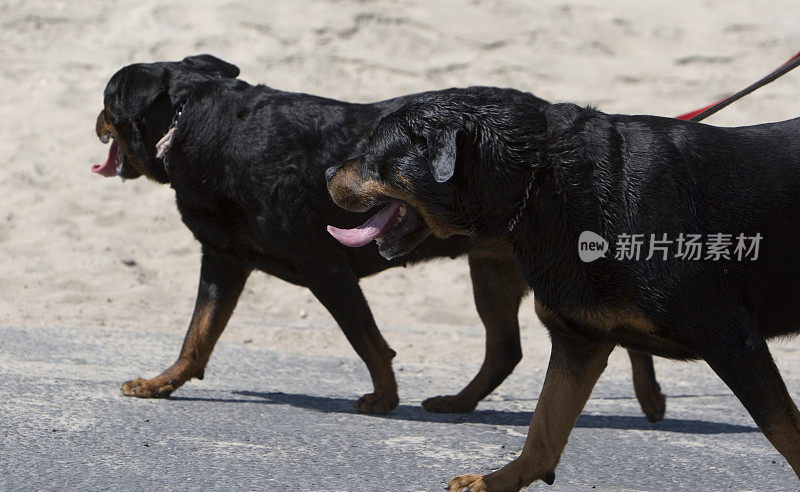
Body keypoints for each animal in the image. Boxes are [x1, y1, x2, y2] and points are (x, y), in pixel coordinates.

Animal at [95, 55, 668, 418]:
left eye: (107, 100)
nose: (96, 119)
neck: (196, 124)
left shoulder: (326, 267)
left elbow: (367, 340)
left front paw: (384, 398)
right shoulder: (223, 261)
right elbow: (198, 333)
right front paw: (163, 382)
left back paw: (650, 397)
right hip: (494, 269)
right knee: (506, 349)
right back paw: (460, 403)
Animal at [324, 89, 800, 488]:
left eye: (373, 149)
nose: (327, 171)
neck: (540, 183)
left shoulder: (732, 340)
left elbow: (785, 431)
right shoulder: (579, 339)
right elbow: (544, 427)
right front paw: (497, 481)